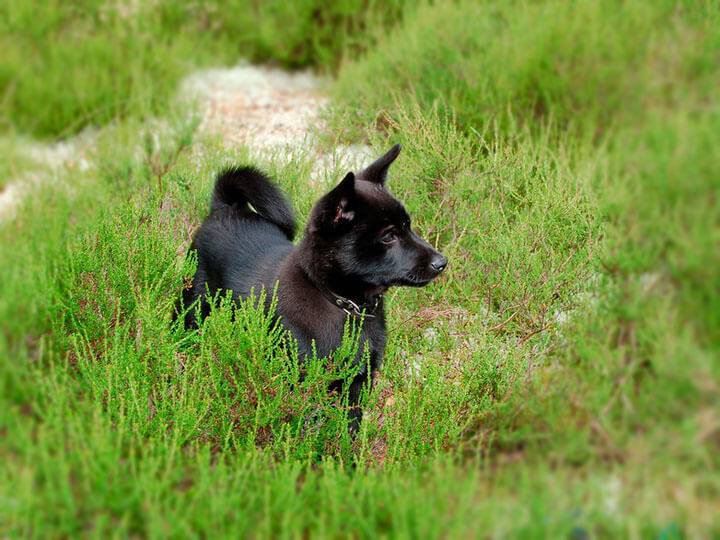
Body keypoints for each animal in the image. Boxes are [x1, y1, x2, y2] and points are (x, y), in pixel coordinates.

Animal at [181, 146, 444, 428]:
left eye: (409, 226)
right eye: (388, 236)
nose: (442, 262)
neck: (344, 304)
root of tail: (224, 208)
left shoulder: (358, 382)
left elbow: (348, 427)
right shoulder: (304, 381)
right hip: (193, 309)